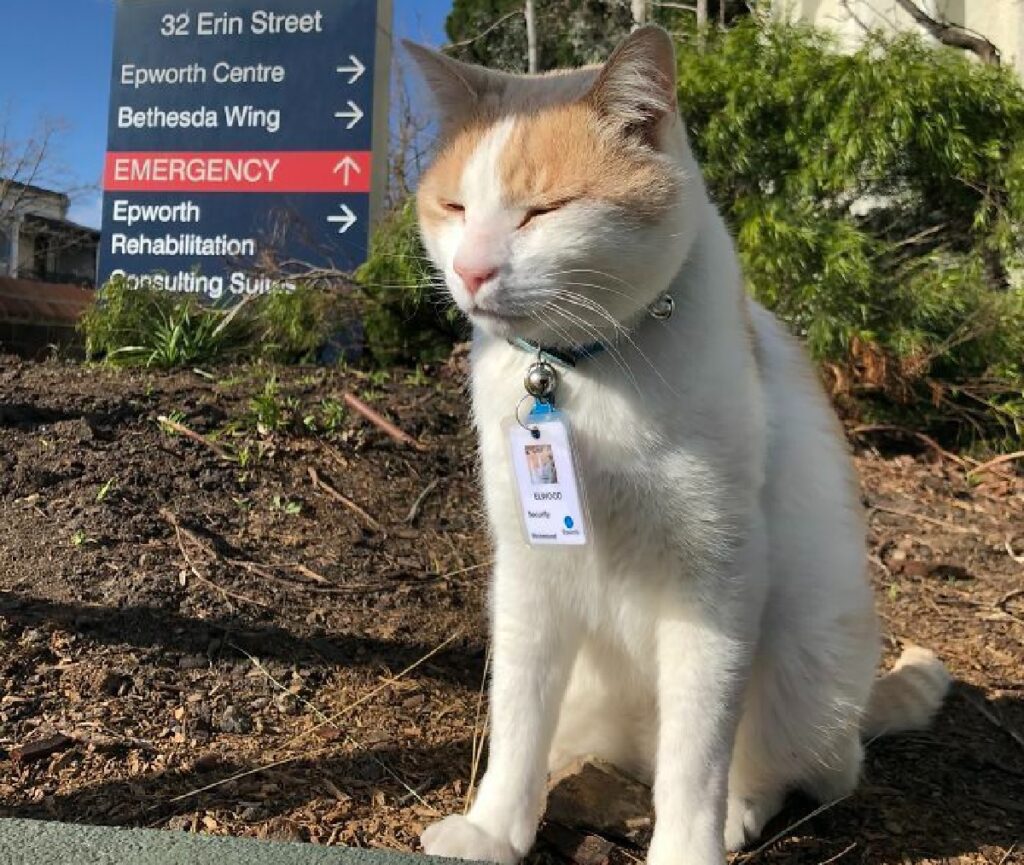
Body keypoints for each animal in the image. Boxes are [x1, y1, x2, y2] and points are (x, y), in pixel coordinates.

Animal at [403, 26, 946, 863]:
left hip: (808, 661)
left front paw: (690, 844)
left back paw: (739, 811)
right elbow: (518, 716)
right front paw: (495, 827)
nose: (470, 269)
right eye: (456, 206)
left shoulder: (716, 581)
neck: (585, 374)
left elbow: (700, 750)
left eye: (542, 210)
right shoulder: (528, 572)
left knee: (782, 766)